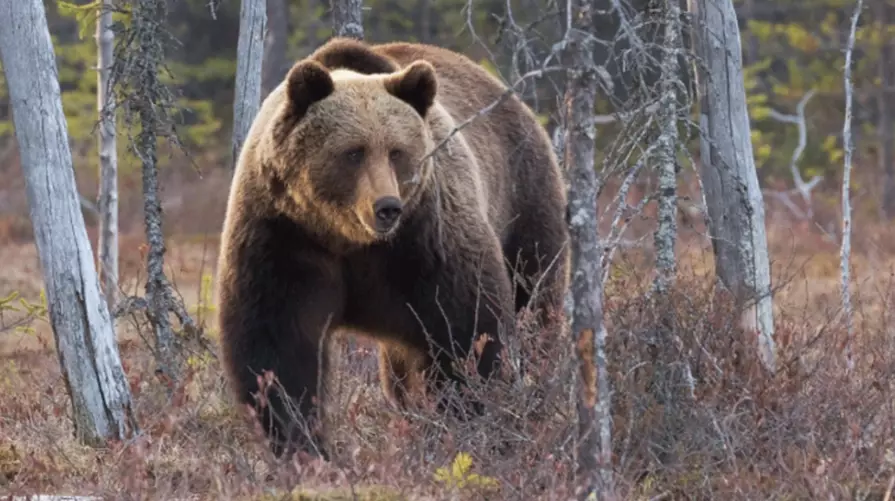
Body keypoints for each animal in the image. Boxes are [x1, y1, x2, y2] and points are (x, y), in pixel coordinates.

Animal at [216, 37, 570, 460]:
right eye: (353, 151)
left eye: (397, 151)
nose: (387, 206)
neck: (348, 238)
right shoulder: (284, 236)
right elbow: (278, 347)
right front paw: (303, 445)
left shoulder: (426, 240)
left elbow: (467, 331)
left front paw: (466, 422)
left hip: (524, 203)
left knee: (535, 303)